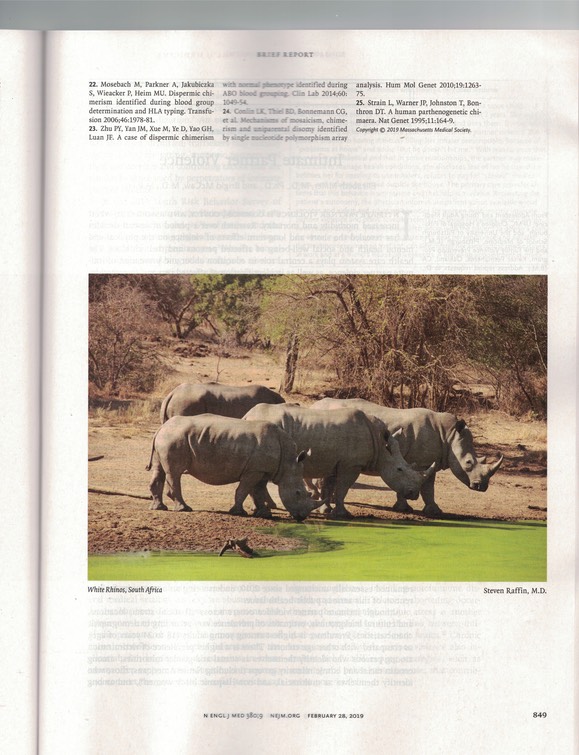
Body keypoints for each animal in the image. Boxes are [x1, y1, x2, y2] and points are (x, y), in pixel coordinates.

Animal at [146, 414, 319, 522]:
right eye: (298, 493)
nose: (302, 517)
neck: (288, 462)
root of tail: (161, 428)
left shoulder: (261, 470)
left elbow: (258, 491)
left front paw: (264, 514)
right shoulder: (254, 470)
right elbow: (244, 490)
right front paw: (239, 512)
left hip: (167, 438)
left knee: (160, 470)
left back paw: (159, 508)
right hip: (174, 439)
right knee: (174, 472)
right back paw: (184, 509)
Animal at [243, 403, 435, 519]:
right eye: (400, 469)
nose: (413, 494)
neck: (381, 445)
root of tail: (246, 416)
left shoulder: (335, 462)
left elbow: (329, 487)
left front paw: (326, 510)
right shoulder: (351, 464)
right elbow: (343, 488)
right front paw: (343, 514)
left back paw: (261, 509)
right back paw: (264, 510)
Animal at [311, 398, 504, 517]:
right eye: (469, 462)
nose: (482, 487)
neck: (448, 435)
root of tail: (314, 405)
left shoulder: (425, 462)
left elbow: (426, 487)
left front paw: (433, 511)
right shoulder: (420, 462)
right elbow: (425, 486)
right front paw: (407, 508)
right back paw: (325, 508)